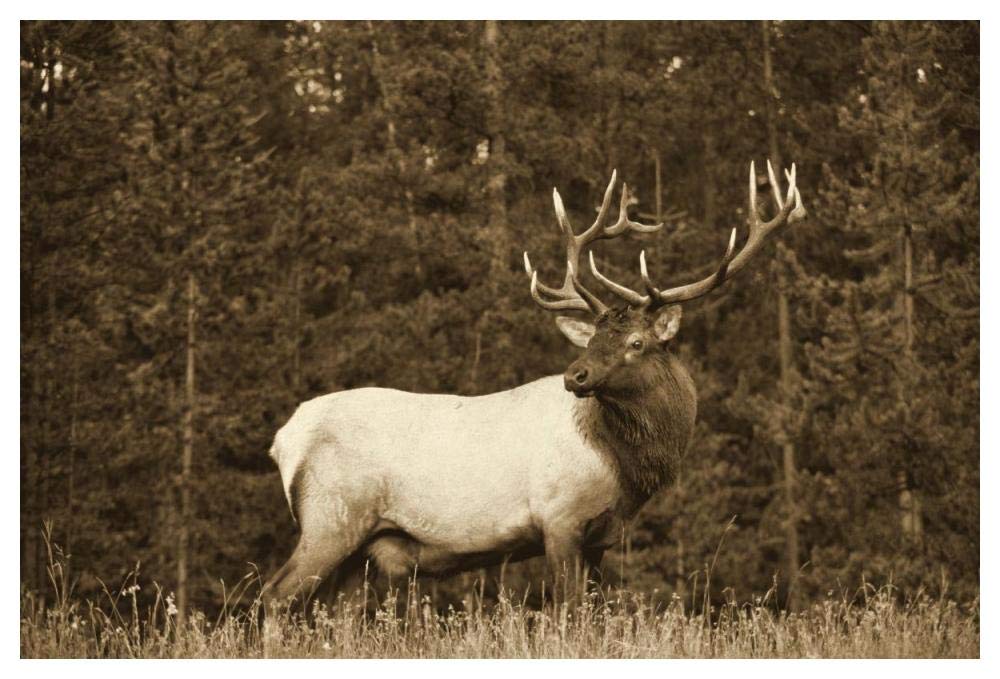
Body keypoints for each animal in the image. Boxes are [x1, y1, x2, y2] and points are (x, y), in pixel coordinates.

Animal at [262, 160, 805, 610]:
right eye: (595, 339)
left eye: (635, 342)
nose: (575, 375)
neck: (622, 468)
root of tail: (284, 439)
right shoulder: (559, 517)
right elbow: (568, 610)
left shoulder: (600, 538)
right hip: (330, 516)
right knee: (275, 595)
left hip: (360, 545)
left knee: (338, 611)